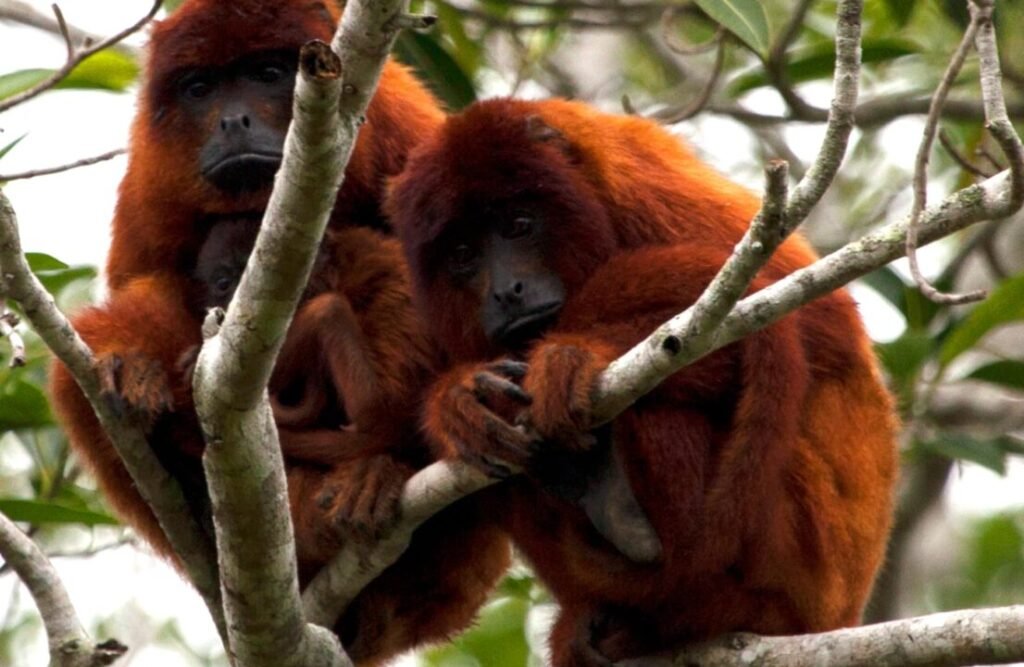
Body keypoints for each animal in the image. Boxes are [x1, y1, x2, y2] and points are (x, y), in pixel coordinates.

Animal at [385, 96, 897, 663]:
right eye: (462, 255)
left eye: (519, 225)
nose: (507, 291)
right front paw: (456, 402)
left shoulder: (644, 194)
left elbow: (812, 325)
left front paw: (576, 358)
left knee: (667, 415)